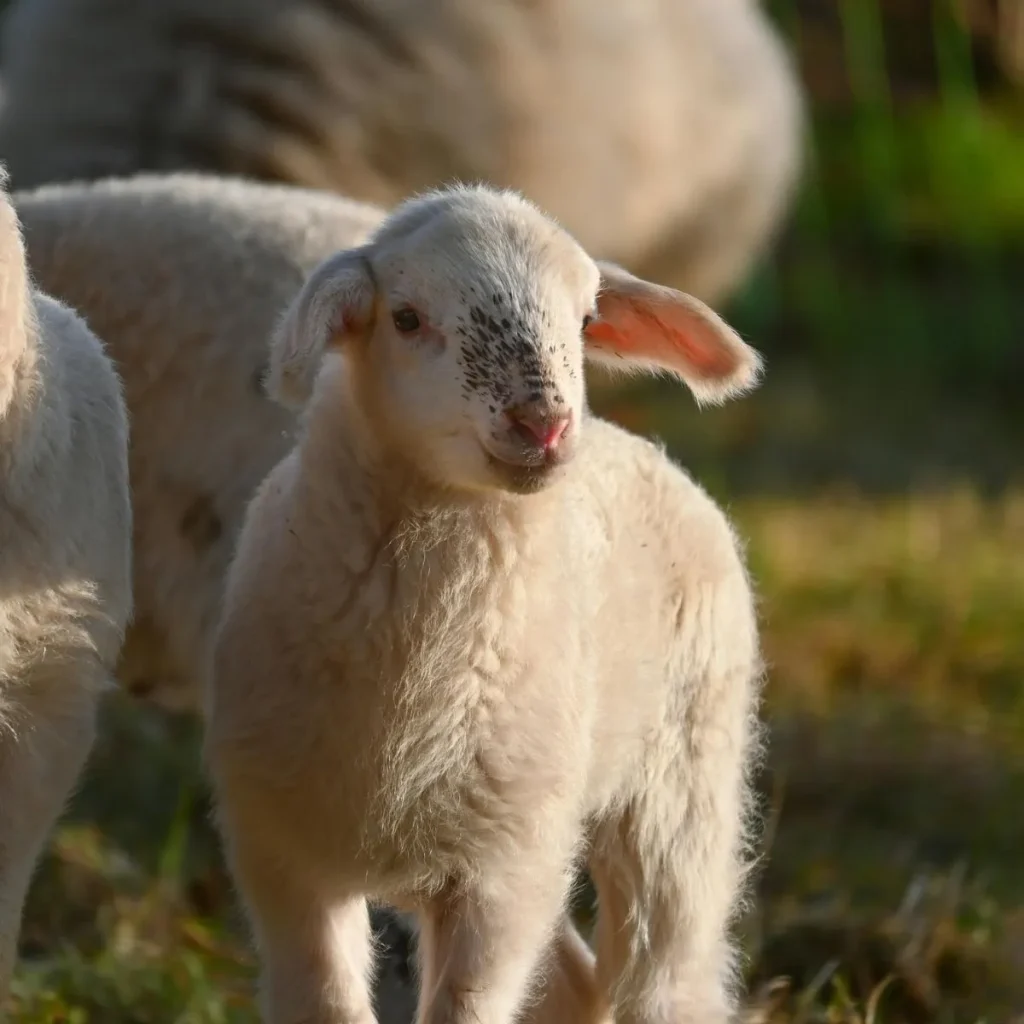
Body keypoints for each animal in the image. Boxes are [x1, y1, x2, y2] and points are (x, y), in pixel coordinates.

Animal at [203, 182, 764, 1024]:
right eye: (405, 317)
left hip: (679, 786)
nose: (544, 424)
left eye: (587, 319)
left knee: (667, 976)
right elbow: (327, 1003)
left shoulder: (499, 876)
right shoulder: (287, 858)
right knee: (573, 981)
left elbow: (466, 1006)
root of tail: (635, 444)